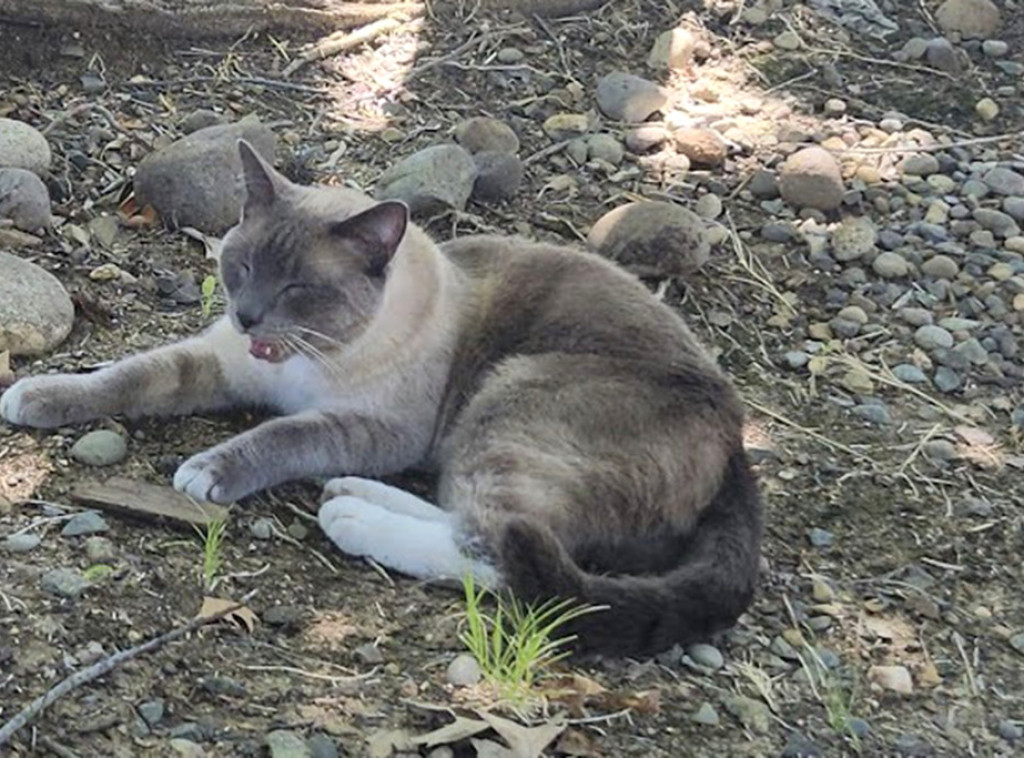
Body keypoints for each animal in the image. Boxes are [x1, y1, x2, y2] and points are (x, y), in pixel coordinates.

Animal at [0, 142, 761, 655]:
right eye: (240, 266)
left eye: (297, 288)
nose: (247, 316)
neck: (300, 361)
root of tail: (736, 436)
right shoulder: (219, 362)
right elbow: (127, 377)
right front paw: (33, 395)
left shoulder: (373, 428)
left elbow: (279, 437)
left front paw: (208, 472)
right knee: (480, 520)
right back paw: (352, 495)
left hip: (509, 400)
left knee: (503, 552)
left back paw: (352, 518)